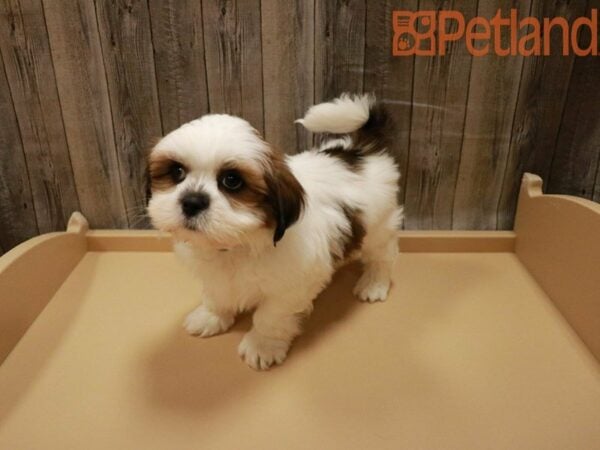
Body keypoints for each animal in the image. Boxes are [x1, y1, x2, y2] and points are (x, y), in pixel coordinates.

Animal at [146, 94, 404, 370]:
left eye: (232, 181)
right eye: (177, 172)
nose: (192, 201)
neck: (240, 241)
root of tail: (362, 149)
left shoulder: (290, 286)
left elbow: (270, 315)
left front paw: (263, 345)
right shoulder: (215, 276)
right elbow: (217, 294)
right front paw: (211, 316)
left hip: (379, 226)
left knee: (383, 253)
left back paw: (374, 282)